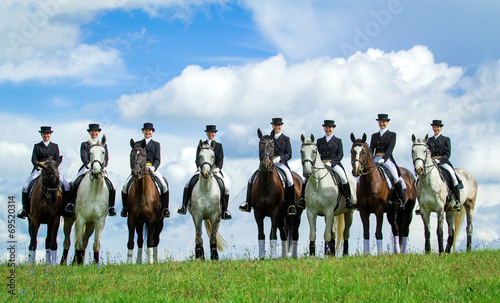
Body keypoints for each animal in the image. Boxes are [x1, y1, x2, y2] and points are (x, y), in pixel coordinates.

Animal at [252, 129, 302, 260]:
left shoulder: (274, 212)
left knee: (295, 233)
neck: (265, 183)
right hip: (281, 216)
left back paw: (294, 256)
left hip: (296, 214)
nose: (266, 165)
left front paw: (273, 257)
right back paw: (284, 256)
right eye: (260, 145)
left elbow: (272, 234)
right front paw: (262, 257)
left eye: (272, 145)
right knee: (284, 234)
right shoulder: (258, 212)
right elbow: (261, 234)